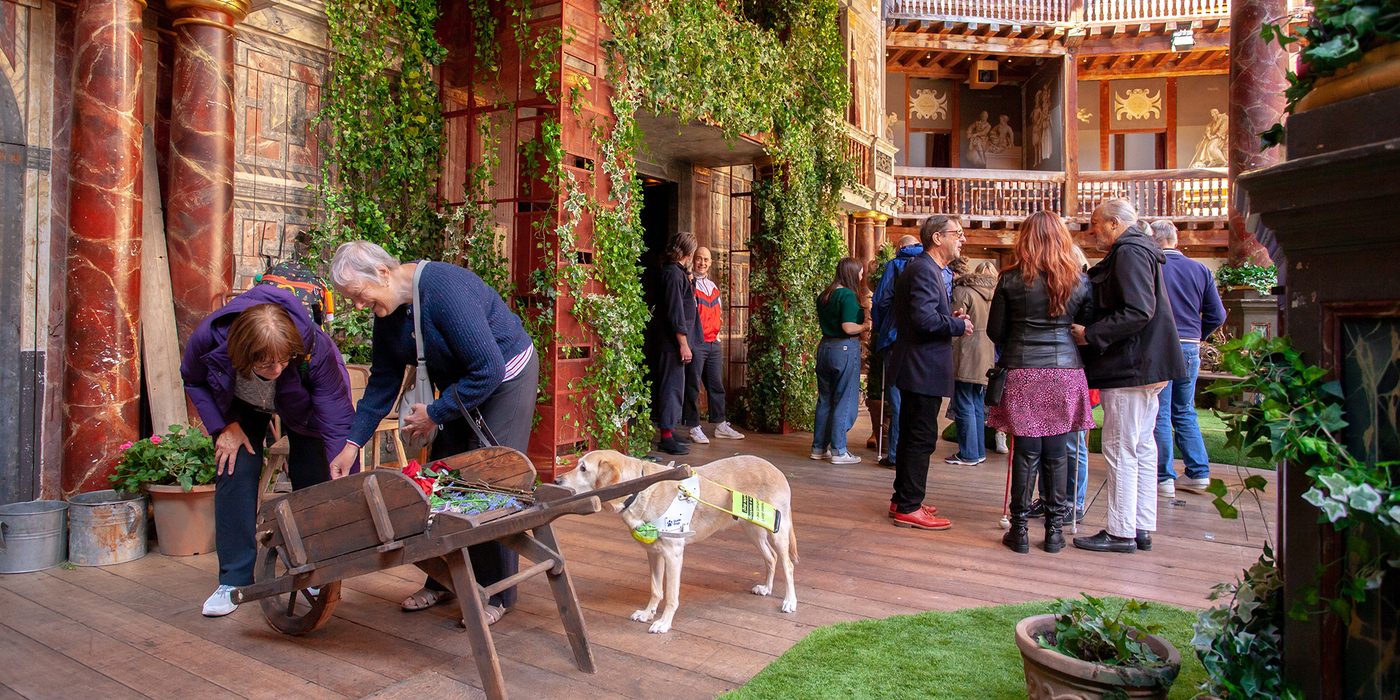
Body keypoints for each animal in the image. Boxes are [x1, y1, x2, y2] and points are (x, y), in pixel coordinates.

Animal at [557, 450, 800, 632]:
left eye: (583, 468)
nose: (557, 480)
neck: (639, 490)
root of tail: (775, 469)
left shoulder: (673, 555)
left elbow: (672, 595)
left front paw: (664, 622)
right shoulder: (653, 554)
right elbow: (656, 589)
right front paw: (647, 613)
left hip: (777, 532)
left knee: (787, 564)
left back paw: (790, 601)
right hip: (753, 529)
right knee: (771, 557)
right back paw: (767, 588)